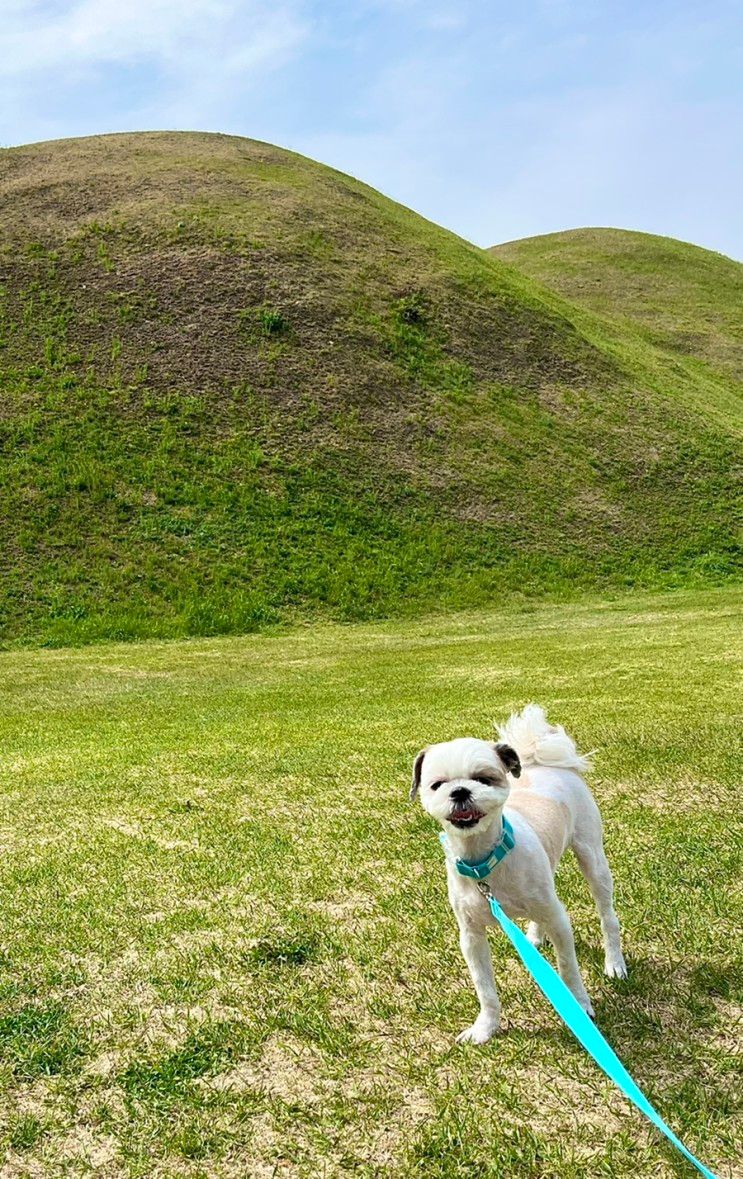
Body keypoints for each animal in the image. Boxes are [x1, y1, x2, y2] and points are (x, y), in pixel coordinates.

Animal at [412, 697, 627, 1042]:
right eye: (437, 785)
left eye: (484, 778)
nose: (460, 791)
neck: (484, 864)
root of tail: (545, 762)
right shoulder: (471, 936)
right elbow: (485, 988)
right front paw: (485, 1028)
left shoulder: (559, 919)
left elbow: (568, 969)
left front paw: (579, 1007)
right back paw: (536, 936)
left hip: (592, 858)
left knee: (608, 916)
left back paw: (614, 962)